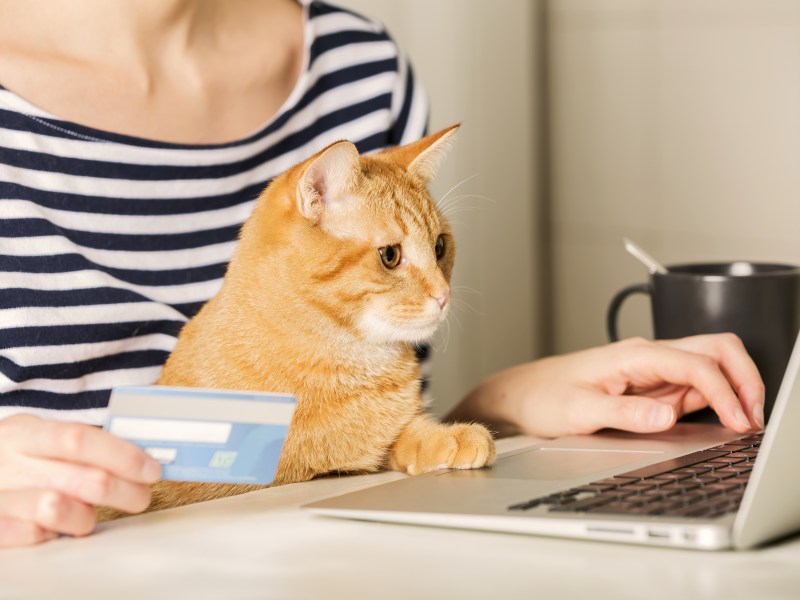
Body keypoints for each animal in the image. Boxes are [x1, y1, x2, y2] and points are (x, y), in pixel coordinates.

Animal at [97, 124, 496, 516]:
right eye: (390, 255)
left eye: (440, 247)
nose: (443, 295)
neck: (353, 365)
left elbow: (402, 434)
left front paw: (446, 436)